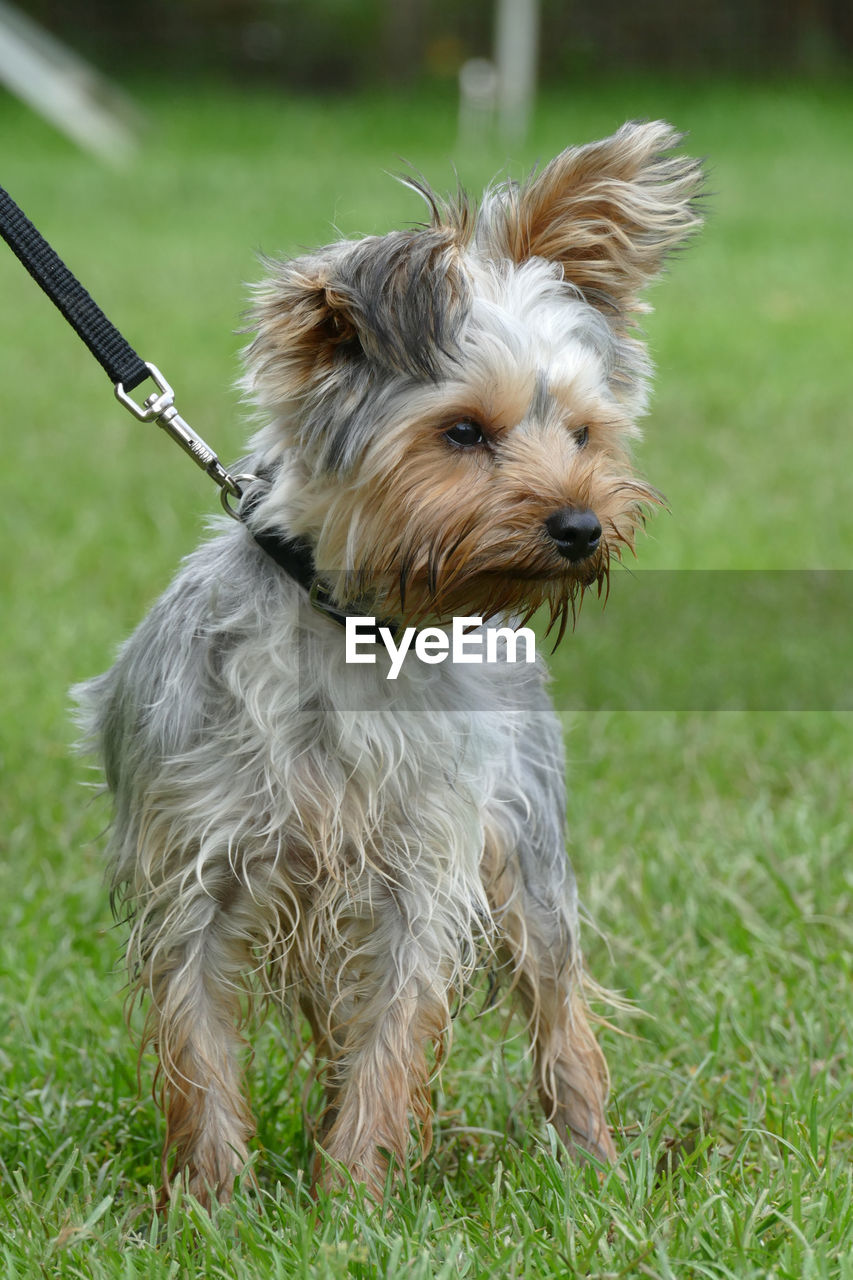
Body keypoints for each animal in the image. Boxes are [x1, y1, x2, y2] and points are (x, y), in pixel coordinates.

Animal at [74, 122, 696, 1208]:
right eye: (462, 432)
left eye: (583, 432)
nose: (581, 525)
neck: (362, 626)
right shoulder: (195, 869)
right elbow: (199, 1049)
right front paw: (212, 1203)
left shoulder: (419, 872)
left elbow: (390, 1039)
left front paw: (353, 1197)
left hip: (525, 844)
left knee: (556, 999)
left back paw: (591, 1160)